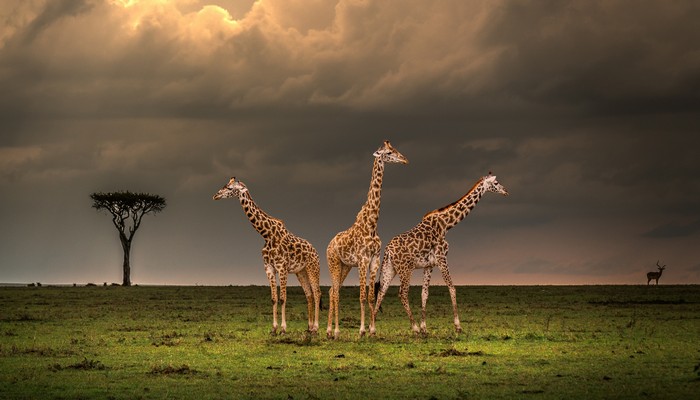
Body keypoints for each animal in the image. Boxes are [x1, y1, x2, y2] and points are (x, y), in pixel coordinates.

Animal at [213, 178, 322, 334]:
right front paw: (274, 328)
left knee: (317, 293)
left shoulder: (282, 268)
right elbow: (273, 298)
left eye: (229, 188)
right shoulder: (269, 268)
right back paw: (309, 327)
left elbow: (282, 298)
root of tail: (315, 251)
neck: (266, 235)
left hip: (313, 268)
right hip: (301, 272)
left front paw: (283, 329)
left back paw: (316, 328)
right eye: (225, 185)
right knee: (309, 295)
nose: (215, 196)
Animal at [326, 141, 408, 338]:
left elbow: (371, 297)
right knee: (335, 292)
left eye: (395, 149)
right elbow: (362, 296)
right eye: (388, 153)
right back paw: (335, 331)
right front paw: (361, 330)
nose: (404, 160)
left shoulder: (374, 260)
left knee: (332, 291)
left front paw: (372, 330)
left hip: (345, 266)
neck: (372, 225)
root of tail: (329, 245)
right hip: (333, 263)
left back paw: (329, 331)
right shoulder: (362, 260)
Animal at [372, 172, 508, 334]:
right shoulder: (442, 258)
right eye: (496, 182)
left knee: (381, 292)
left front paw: (425, 327)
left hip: (390, 268)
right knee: (402, 293)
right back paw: (414, 327)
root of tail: (388, 250)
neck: (446, 225)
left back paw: (372, 329)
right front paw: (458, 326)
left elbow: (424, 293)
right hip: (405, 269)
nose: (506, 191)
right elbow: (452, 288)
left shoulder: (429, 265)